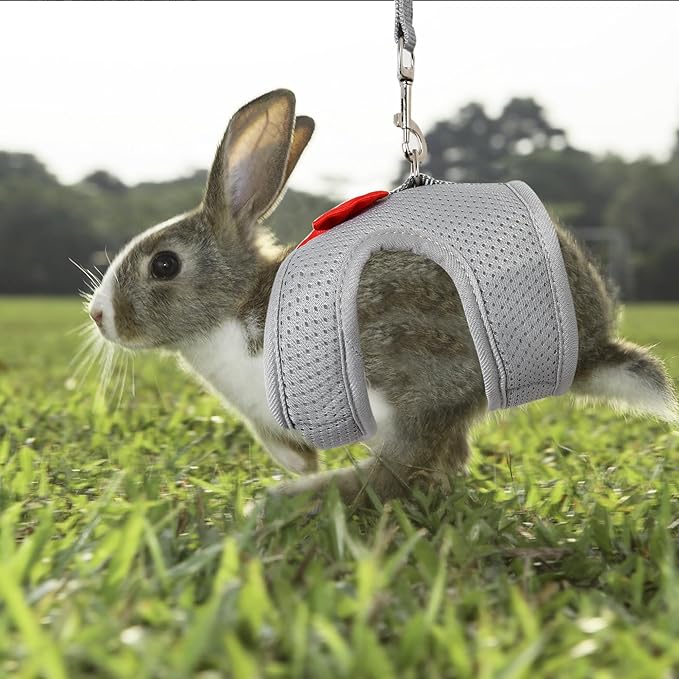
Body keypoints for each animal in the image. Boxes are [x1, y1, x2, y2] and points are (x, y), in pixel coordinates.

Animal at [87, 88, 678, 507]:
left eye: (165, 265)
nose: (98, 315)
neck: (237, 304)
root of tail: (591, 350)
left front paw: (296, 477)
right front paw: (298, 462)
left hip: (412, 362)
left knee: (403, 468)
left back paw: (289, 501)